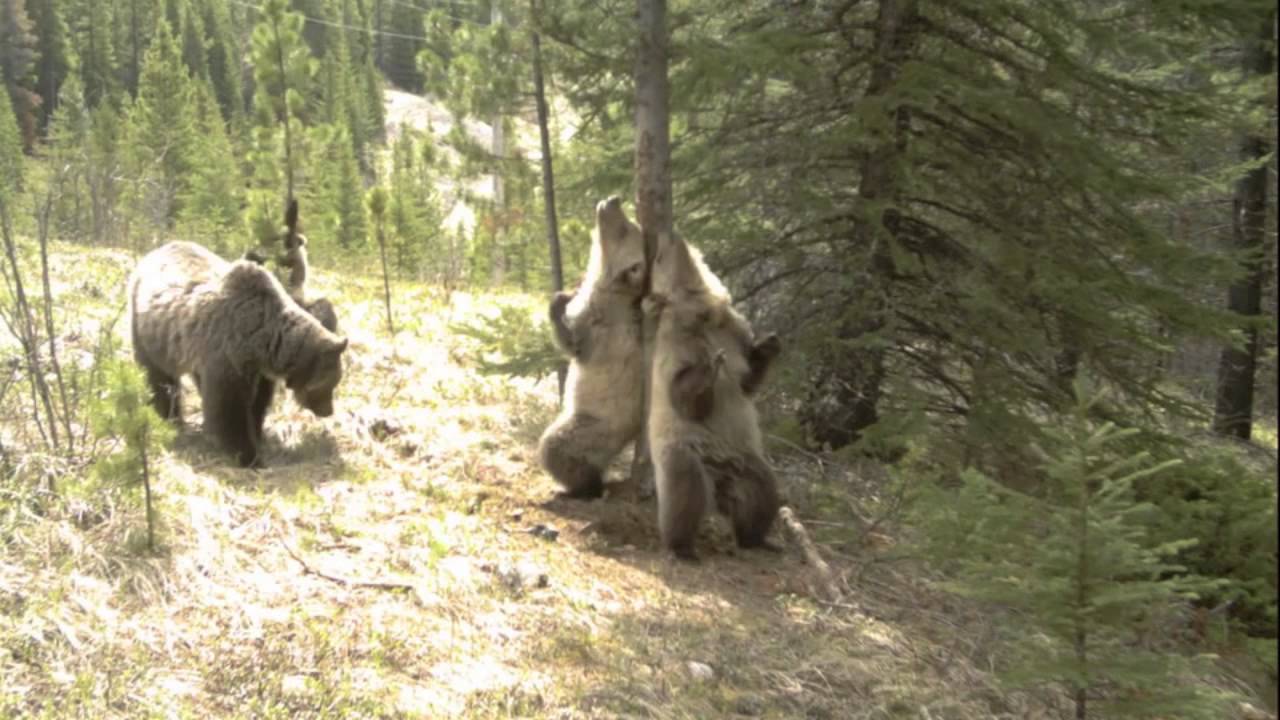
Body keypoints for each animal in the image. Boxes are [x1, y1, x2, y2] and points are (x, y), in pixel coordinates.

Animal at [129, 240, 350, 468]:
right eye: (330, 384)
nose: (328, 410)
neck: (264, 341)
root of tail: (157, 250)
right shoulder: (228, 354)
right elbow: (229, 409)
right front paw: (249, 456)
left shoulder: (258, 370)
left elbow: (257, 403)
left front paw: (258, 434)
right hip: (148, 330)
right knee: (158, 377)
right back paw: (169, 419)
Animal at [537, 196, 649, 499]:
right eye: (633, 223)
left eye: (625, 229)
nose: (613, 200)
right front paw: (567, 292)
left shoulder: (600, 329)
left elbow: (572, 344)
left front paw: (560, 301)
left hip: (593, 427)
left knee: (556, 445)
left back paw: (580, 487)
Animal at [646, 291, 781, 560]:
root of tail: (720, 480)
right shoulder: (674, 355)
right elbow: (686, 397)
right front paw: (708, 368)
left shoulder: (735, 351)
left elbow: (747, 381)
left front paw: (768, 344)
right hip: (685, 454)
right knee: (685, 492)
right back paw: (682, 548)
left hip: (744, 461)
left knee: (764, 489)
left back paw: (758, 539)